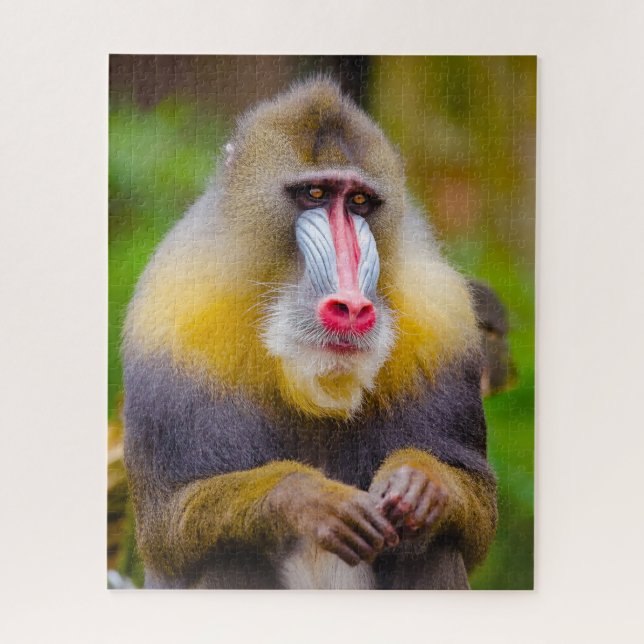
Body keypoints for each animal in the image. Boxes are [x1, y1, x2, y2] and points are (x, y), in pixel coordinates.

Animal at [122, 79, 497, 589]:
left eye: (359, 202)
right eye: (315, 193)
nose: (352, 307)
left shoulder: (444, 320)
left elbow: (477, 515)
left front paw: (421, 482)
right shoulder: (172, 320)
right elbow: (169, 526)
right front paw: (310, 499)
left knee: (436, 544)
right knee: (223, 554)